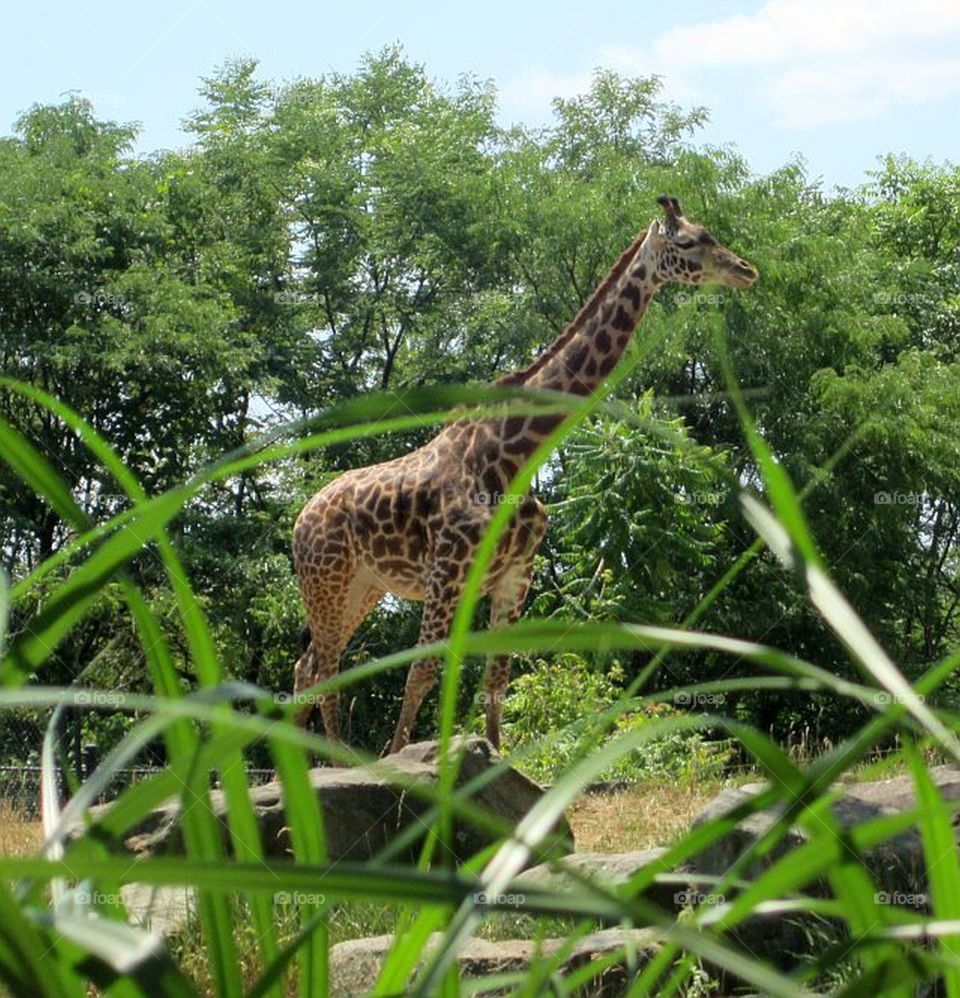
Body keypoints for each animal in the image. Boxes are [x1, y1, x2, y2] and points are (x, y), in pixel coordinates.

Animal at [291, 195, 758, 754]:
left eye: (712, 235)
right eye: (687, 242)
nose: (746, 270)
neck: (517, 456)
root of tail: (300, 519)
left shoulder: (515, 573)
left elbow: (497, 675)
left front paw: (492, 755)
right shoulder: (449, 571)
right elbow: (422, 673)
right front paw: (402, 758)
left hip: (365, 588)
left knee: (307, 666)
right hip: (328, 580)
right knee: (325, 670)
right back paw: (334, 758)